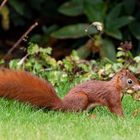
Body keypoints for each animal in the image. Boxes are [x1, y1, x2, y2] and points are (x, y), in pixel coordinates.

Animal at [0, 68, 140, 116]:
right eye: (130, 81)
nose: (139, 87)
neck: (115, 87)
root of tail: (63, 104)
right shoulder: (112, 96)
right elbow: (116, 108)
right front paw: (124, 118)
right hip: (81, 98)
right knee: (74, 113)